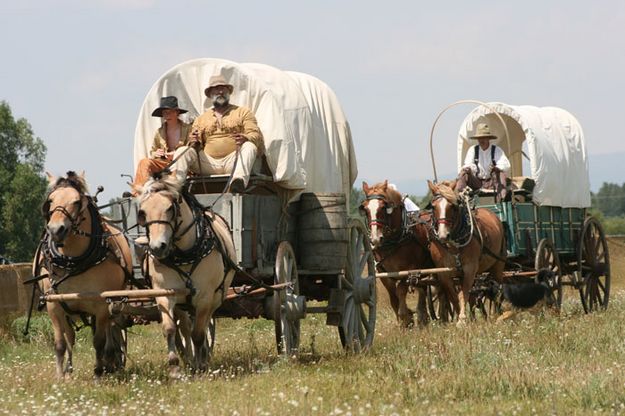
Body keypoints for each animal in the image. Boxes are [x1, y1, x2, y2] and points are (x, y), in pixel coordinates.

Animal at [34, 171, 133, 378]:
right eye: (51, 200)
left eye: (77, 201)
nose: (55, 230)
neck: (73, 262)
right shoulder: (54, 305)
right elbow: (60, 344)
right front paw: (60, 376)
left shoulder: (102, 304)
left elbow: (99, 341)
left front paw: (98, 372)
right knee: (71, 336)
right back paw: (70, 369)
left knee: (109, 331)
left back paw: (109, 361)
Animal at [134, 172, 236, 374]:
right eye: (143, 212)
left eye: (169, 208)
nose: (157, 247)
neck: (185, 254)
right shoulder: (164, 294)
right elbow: (170, 329)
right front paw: (175, 366)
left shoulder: (204, 297)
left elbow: (199, 334)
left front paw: (201, 364)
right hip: (182, 304)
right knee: (186, 327)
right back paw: (189, 358)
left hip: (215, 298)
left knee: (202, 325)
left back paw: (201, 357)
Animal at [358, 180, 432, 326]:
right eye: (366, 209)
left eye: (383, 207)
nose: (375, 238)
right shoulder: (384, 274)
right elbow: (393, 297)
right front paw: (403, 320)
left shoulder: (408, 270)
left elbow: (401, 291)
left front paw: (406, 317)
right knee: (422, 287)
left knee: (425, 288)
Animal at [426, 180, 504, 324]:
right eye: (433, 207)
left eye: (453, 206)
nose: (443, 235)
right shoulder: (444, 273)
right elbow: (454, 297)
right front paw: (459, 317)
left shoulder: (470, 269)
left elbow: (463, 293)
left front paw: (462, 319)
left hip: (498, 265)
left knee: (497, 290)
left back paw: (497, 314)